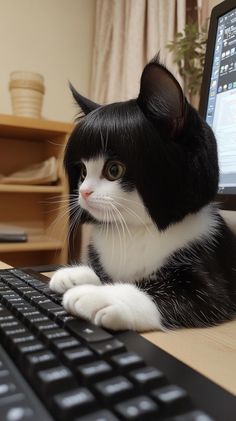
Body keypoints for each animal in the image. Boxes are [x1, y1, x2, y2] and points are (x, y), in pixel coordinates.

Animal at [49, 56, 236, 332]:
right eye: (82, 171)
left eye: (114, 169)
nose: (83, 192)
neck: (136, 229)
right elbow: (105, 273)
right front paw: (75, 274)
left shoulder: (213, 281)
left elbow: (175, 294)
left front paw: (100, 297)